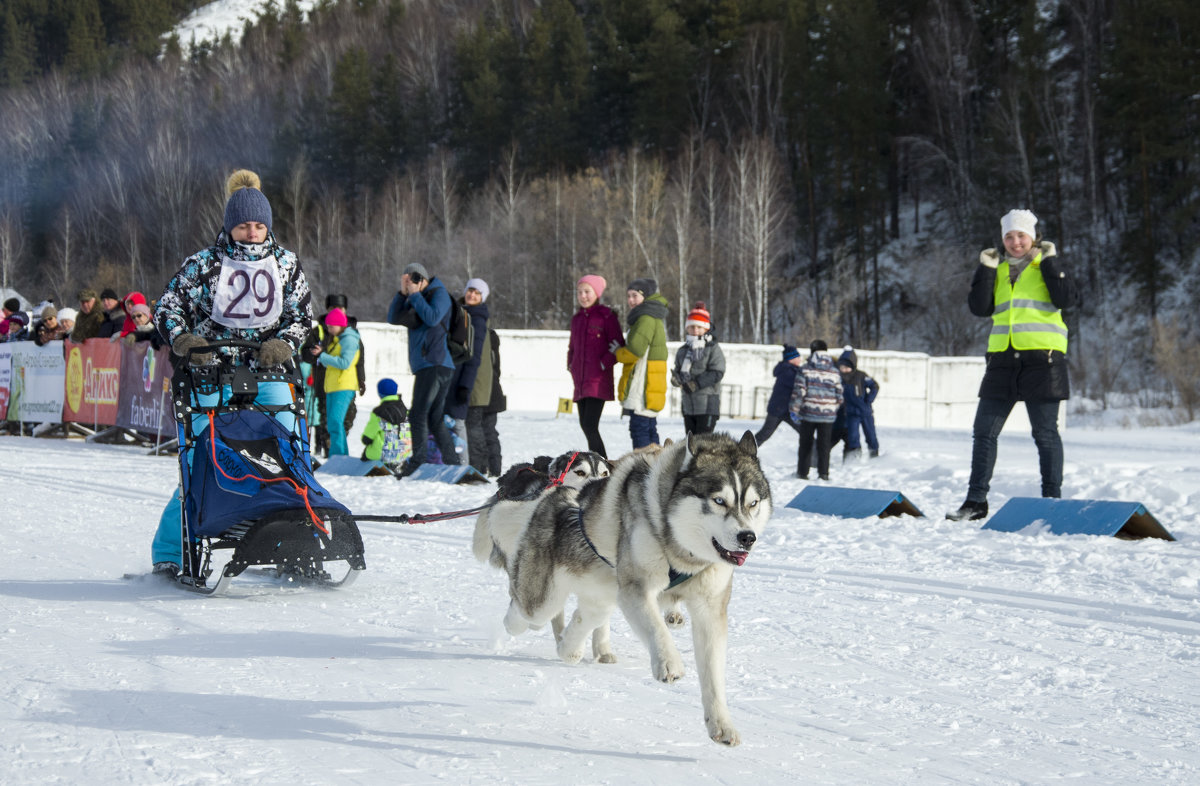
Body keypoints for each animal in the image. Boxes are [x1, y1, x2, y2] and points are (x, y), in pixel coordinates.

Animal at [504, 429, 768, 744]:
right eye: (718, 500)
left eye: (753, 503)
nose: (747, 537)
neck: (682, 552)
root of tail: (557, 491)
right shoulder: (636, 589)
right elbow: (657, 628)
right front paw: (669, 663)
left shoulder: (709, 609)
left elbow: (713, 673)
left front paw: (721, 724)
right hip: (542, 600)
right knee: (524, 611)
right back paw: (513, 624)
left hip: (602, 596)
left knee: (584, 618)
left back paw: (570, 647)